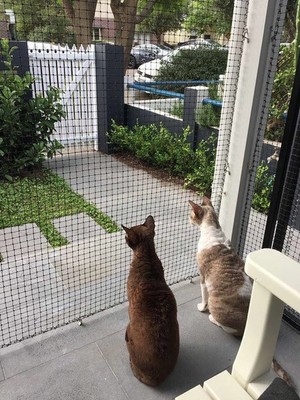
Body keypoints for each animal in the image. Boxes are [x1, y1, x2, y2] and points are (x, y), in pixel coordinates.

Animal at [189, 197, 252, 338]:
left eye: (191, 215)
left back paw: (212, 318)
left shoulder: (203, 277)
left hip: (214, 302)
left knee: (228, 328)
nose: (188, 218)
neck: (212, 228)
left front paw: (202, 307)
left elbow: (203, 297)